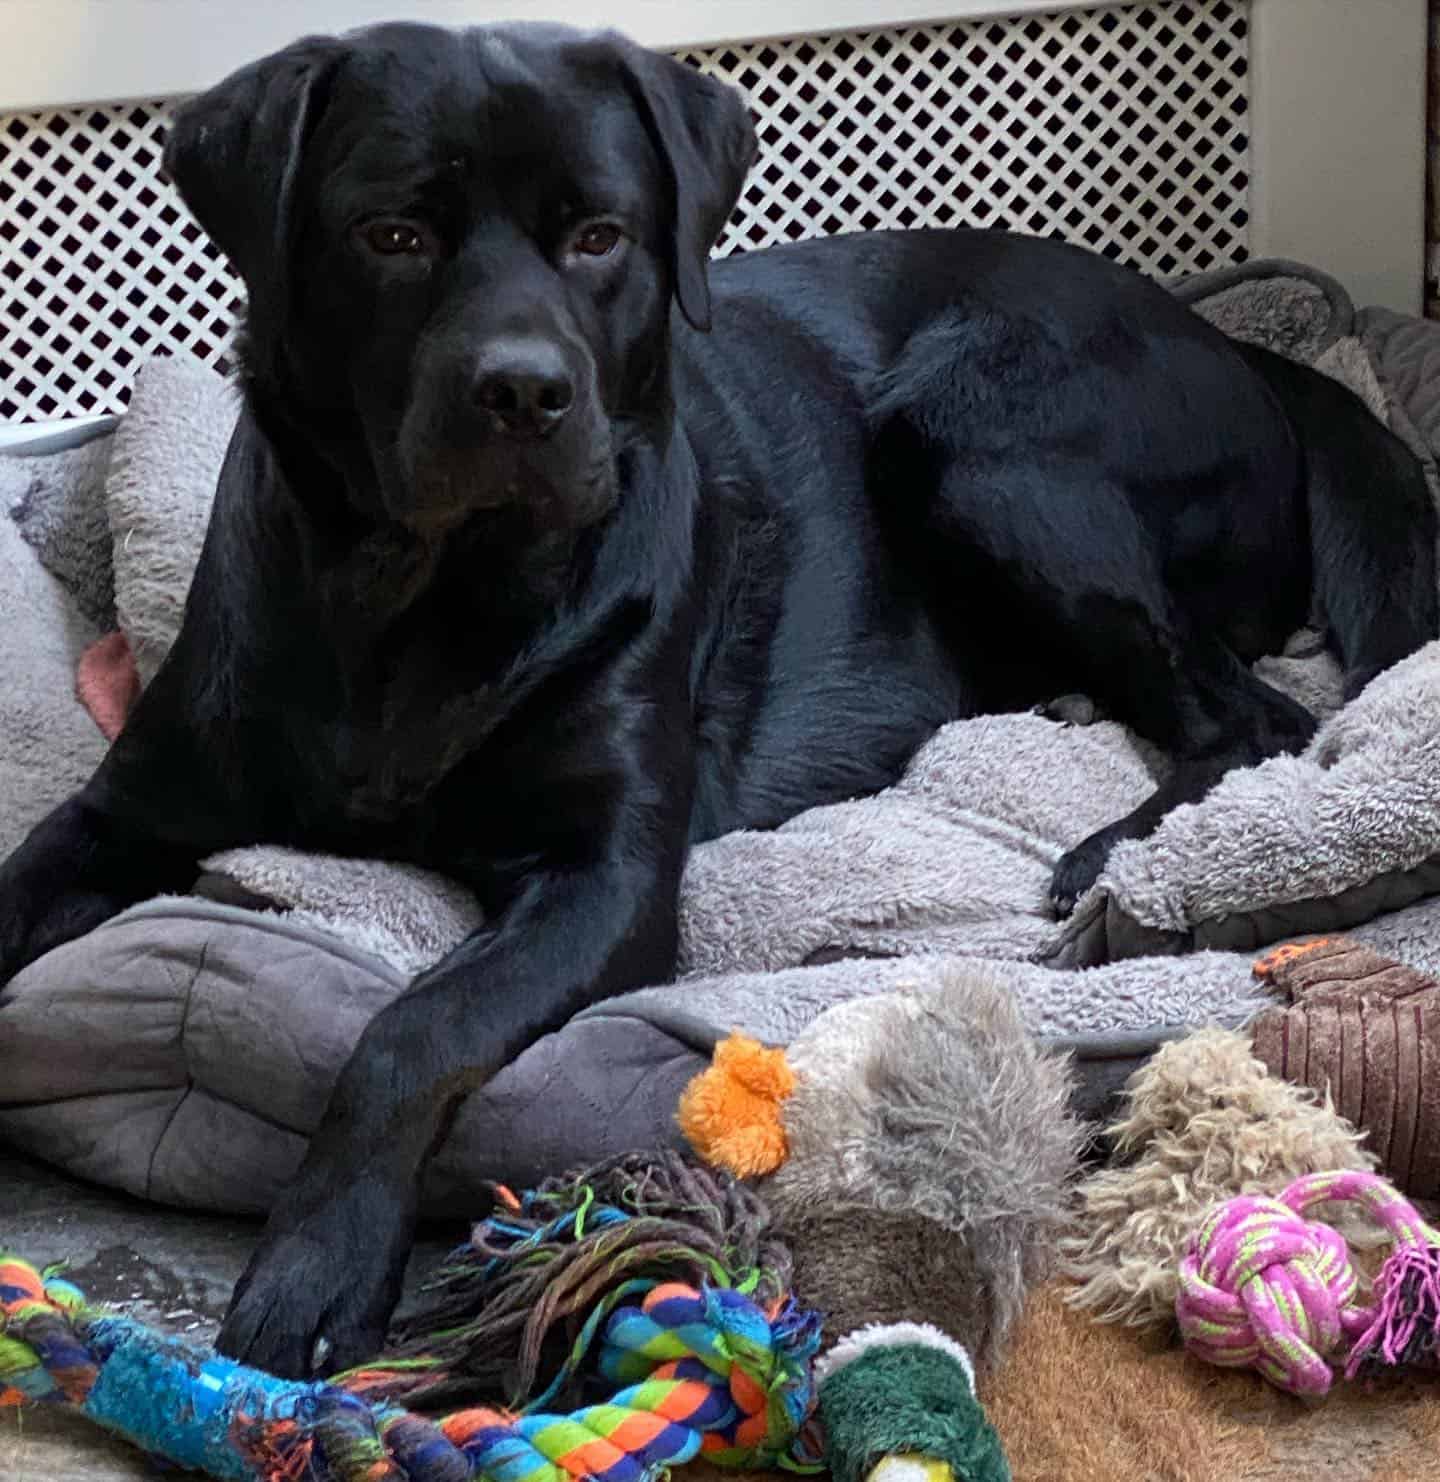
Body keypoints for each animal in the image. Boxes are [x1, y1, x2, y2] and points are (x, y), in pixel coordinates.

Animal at [2, 20, 1440, 1375]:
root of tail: (1246, 353)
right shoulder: (133, 805)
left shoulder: (606, 879)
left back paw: (1117, 858)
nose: (523, 392)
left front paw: (315, 1269)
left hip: (978, 439)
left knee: (1264, 719)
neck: (422, 597)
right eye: (391, 234)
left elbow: (412, 1026)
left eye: (598, 236)